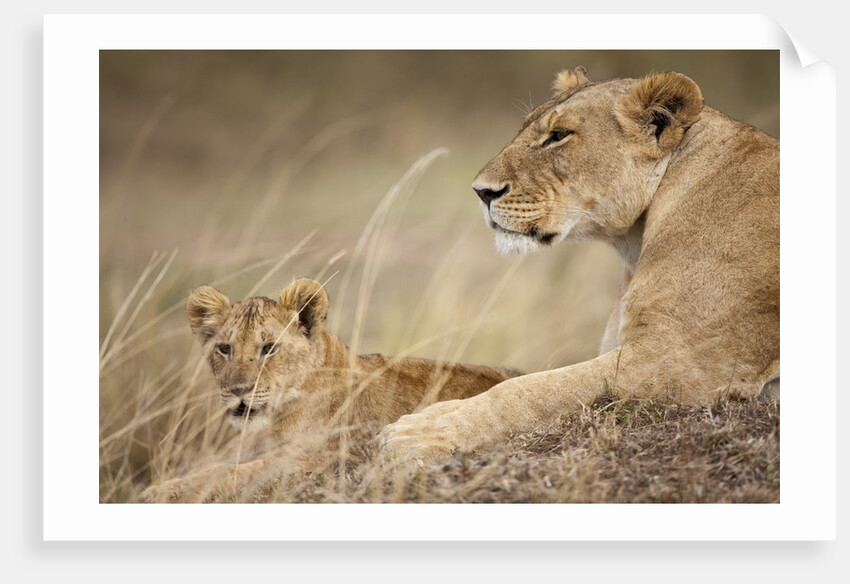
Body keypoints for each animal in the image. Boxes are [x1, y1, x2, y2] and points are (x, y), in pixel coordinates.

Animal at [138, 278, 521, 501]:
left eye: (268, 348)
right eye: (224, 348)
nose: (239, 390)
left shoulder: (310, 462)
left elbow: (226, 473)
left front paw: (156, 492)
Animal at [377, 66, 779, 463]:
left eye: (558, 136)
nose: (482, 191)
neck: (635, 242)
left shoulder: (686, 363)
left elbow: (532, 390)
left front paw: (422, 432)